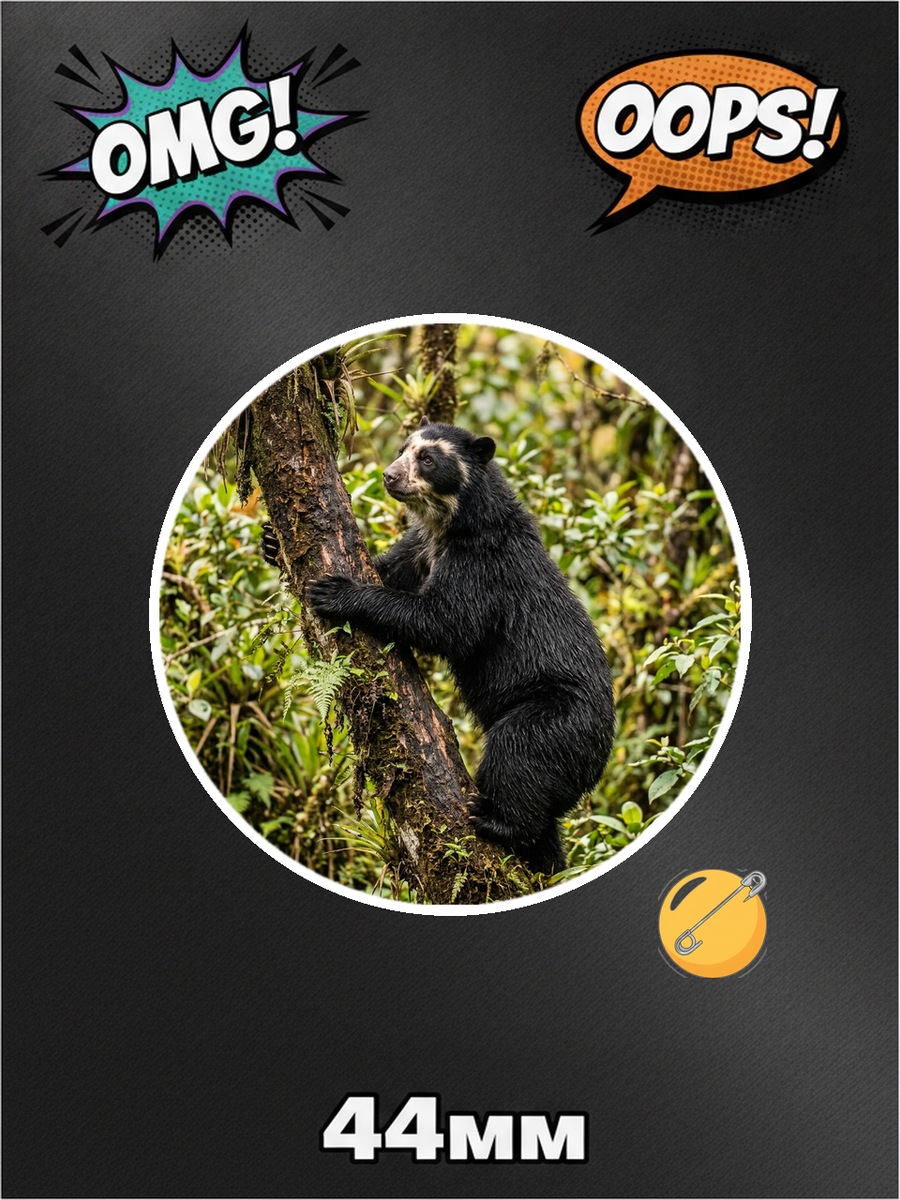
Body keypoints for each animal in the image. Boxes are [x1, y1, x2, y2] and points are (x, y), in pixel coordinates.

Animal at [266, 418, 615, 876]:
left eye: (428, 459)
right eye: (402, 449)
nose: (389, 476)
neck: (450, 524)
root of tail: (601, 755)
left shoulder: (483, 564)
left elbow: (446, 622)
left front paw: (336, 591)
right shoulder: (419, 547)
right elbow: (389, 570)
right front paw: (272, 541)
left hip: (557, 719)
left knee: (518, 755)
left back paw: (494, 820)